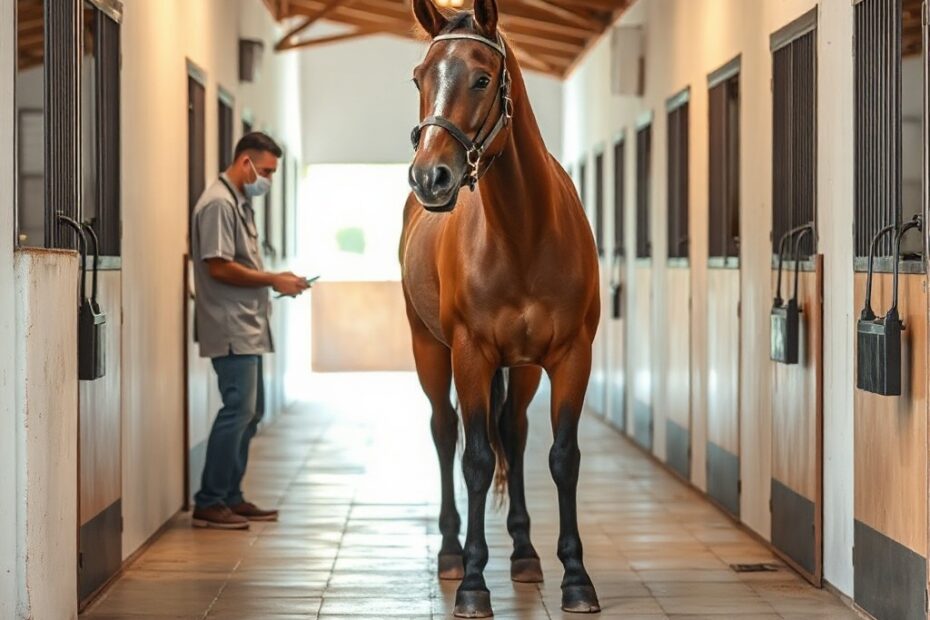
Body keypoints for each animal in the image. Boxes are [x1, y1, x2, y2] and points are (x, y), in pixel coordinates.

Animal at [399, 0, 601, 616]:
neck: (523, 232)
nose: (430, 177)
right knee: (445, 432)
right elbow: (476, 461)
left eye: (483, 78)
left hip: (523, 367)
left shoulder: (569, 356)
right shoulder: (470, 354)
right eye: (420, 77)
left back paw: (525, 554)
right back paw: (449, 552)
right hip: (429, 349)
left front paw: (575, 576)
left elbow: (561, 456)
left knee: (512, 430)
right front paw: (472, 582)